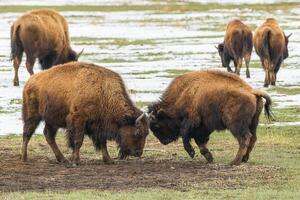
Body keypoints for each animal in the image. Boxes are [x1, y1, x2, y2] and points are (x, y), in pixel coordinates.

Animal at [21, 61, 149, 165]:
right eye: (138, 132)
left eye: (147, 133)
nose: (138, 153)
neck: (103, 92)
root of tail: (30, 81)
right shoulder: (78, 119)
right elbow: (78, 141)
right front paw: (76, 161)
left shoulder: (99, 125)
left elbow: (103, 143)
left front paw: (108, 160)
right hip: (32, 115)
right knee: (27, 134)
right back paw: (24, 158)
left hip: (52, 120)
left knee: (48, 135)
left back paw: (62, 159)